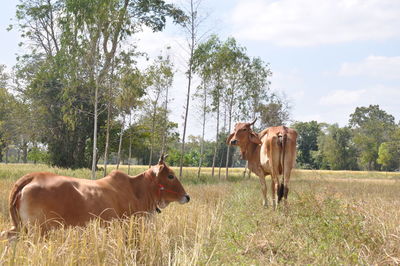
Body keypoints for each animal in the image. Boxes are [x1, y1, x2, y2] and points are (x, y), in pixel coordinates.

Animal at [1, 154, 189, 237]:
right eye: (170, 175)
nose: (187, 196)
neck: (137, 190)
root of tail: (33, 176)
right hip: (38, 230)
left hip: (21, 227)